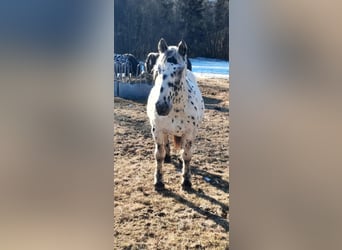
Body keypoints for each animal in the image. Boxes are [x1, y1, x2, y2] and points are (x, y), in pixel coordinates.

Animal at [146, 38, 204, 190]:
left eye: (179, 70)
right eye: (157, 69)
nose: (161, 107)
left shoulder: (190, 133)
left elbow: (187, 155)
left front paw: (186, 180)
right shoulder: (158, 131)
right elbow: (158, 155)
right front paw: (159, 181)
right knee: (166, 143)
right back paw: (168, 156)